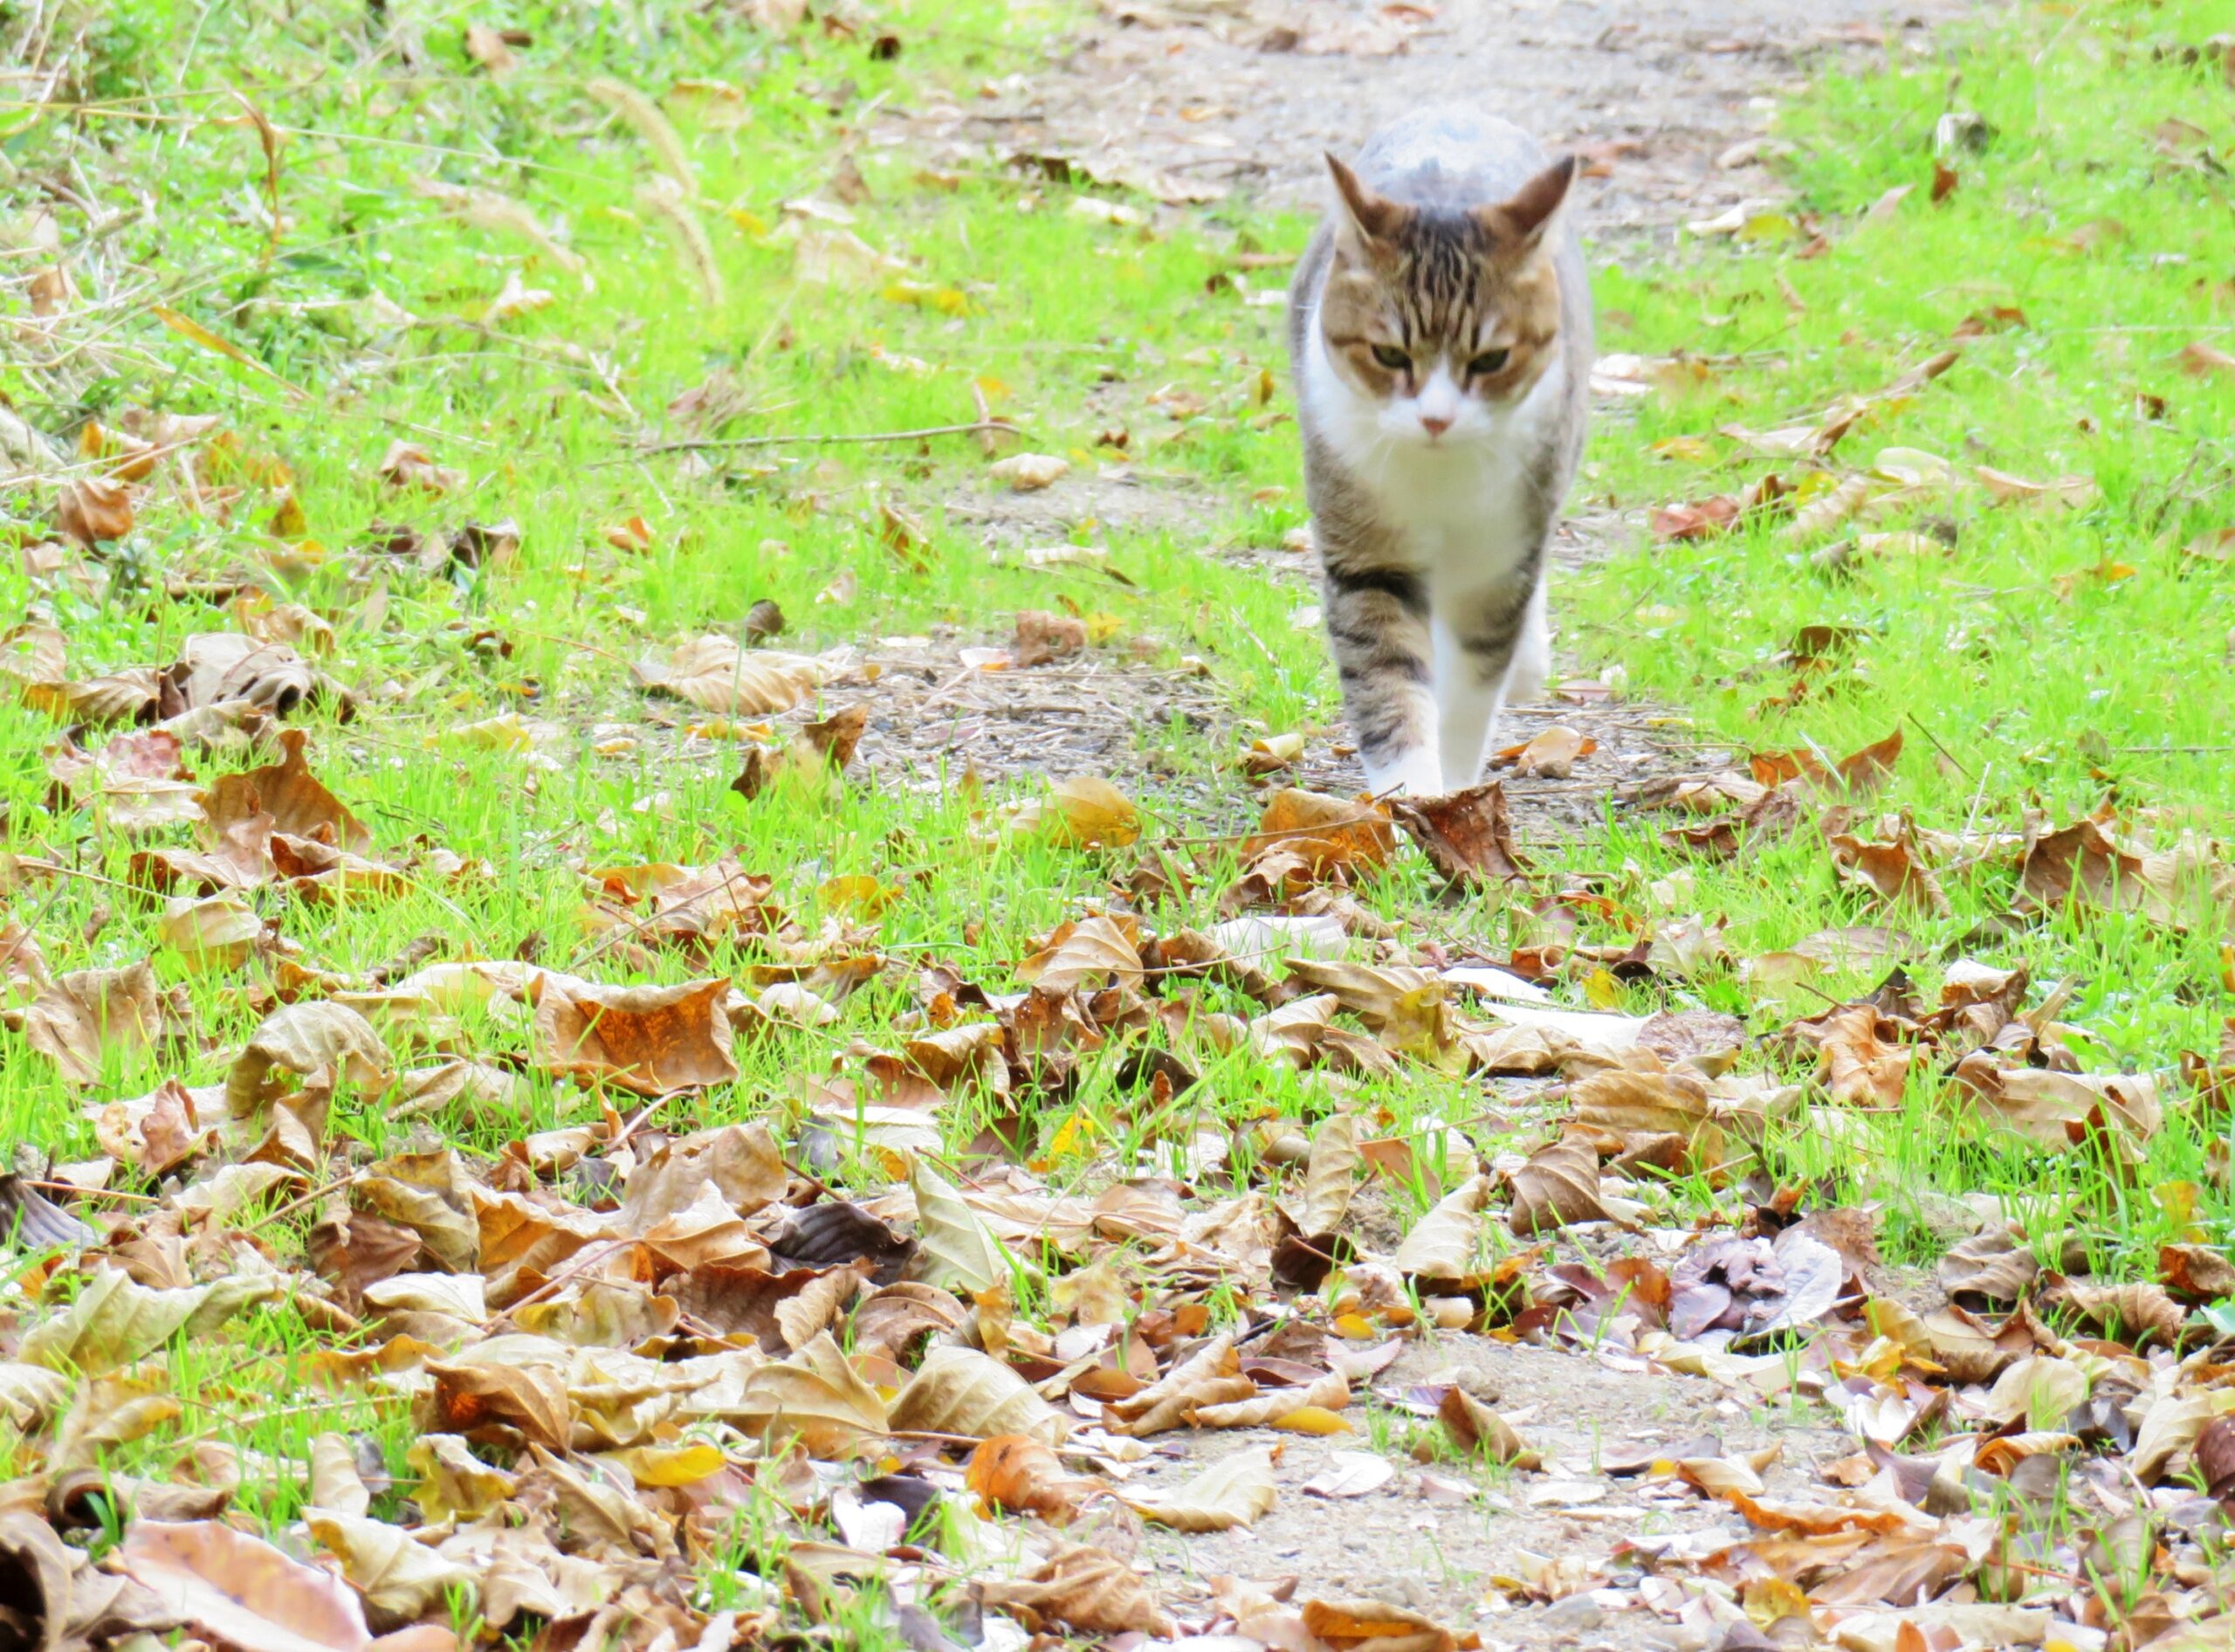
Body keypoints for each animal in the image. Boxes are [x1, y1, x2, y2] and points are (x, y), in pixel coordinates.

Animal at [1287, 107, 1599, 795]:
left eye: (1490, 361)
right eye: (1388, 354)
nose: (1436, 417)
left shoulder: (1498, 557)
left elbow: (1473, 686)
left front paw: (1455, 791)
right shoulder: (1365, 547)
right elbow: (1387, 677)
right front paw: (1409, 794)